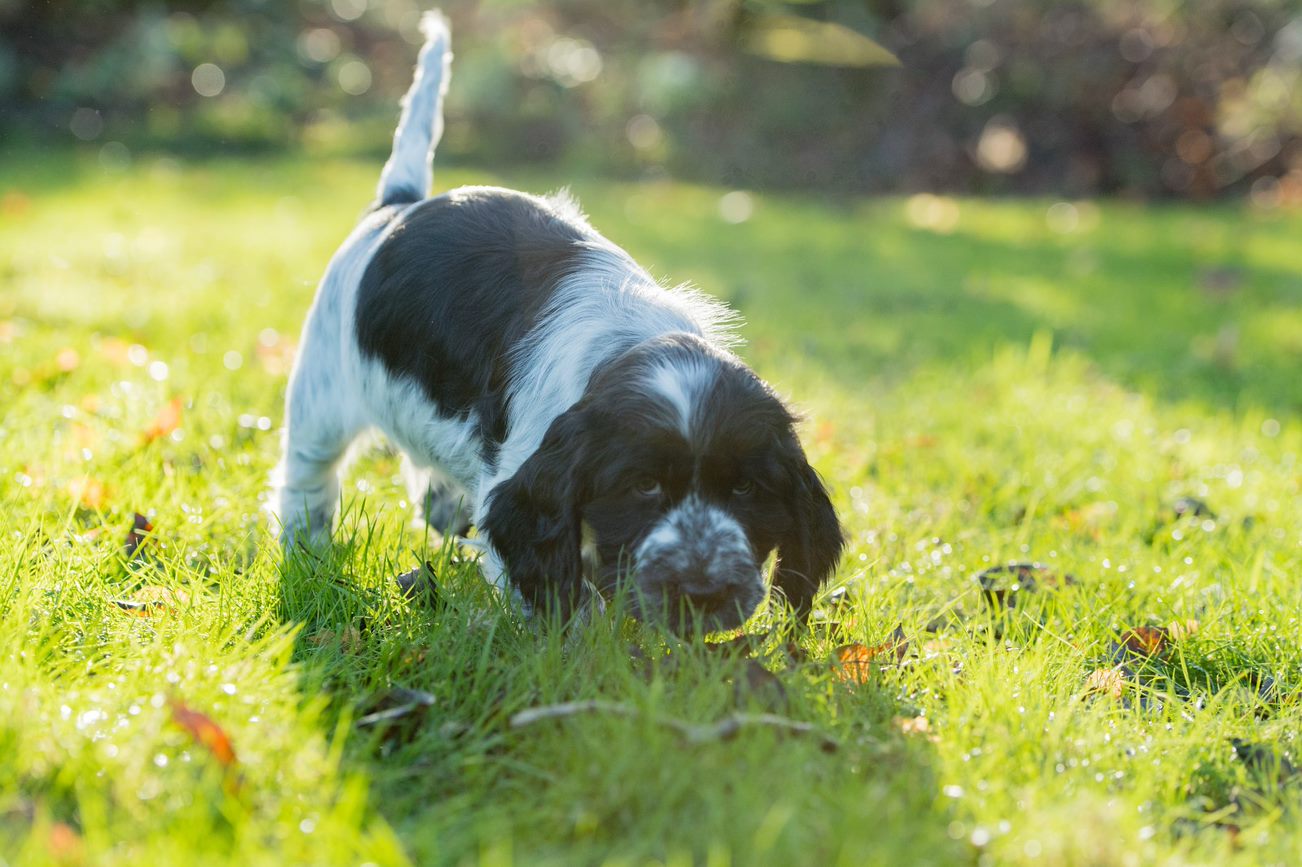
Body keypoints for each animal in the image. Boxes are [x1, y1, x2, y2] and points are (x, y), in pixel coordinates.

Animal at [274, 13, 843, 632]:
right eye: (643, 486)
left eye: (744, 488)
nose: (702, 594)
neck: (631, 343)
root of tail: (398, 205)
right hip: (322, 393)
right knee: (307, 478)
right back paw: (306, 554)